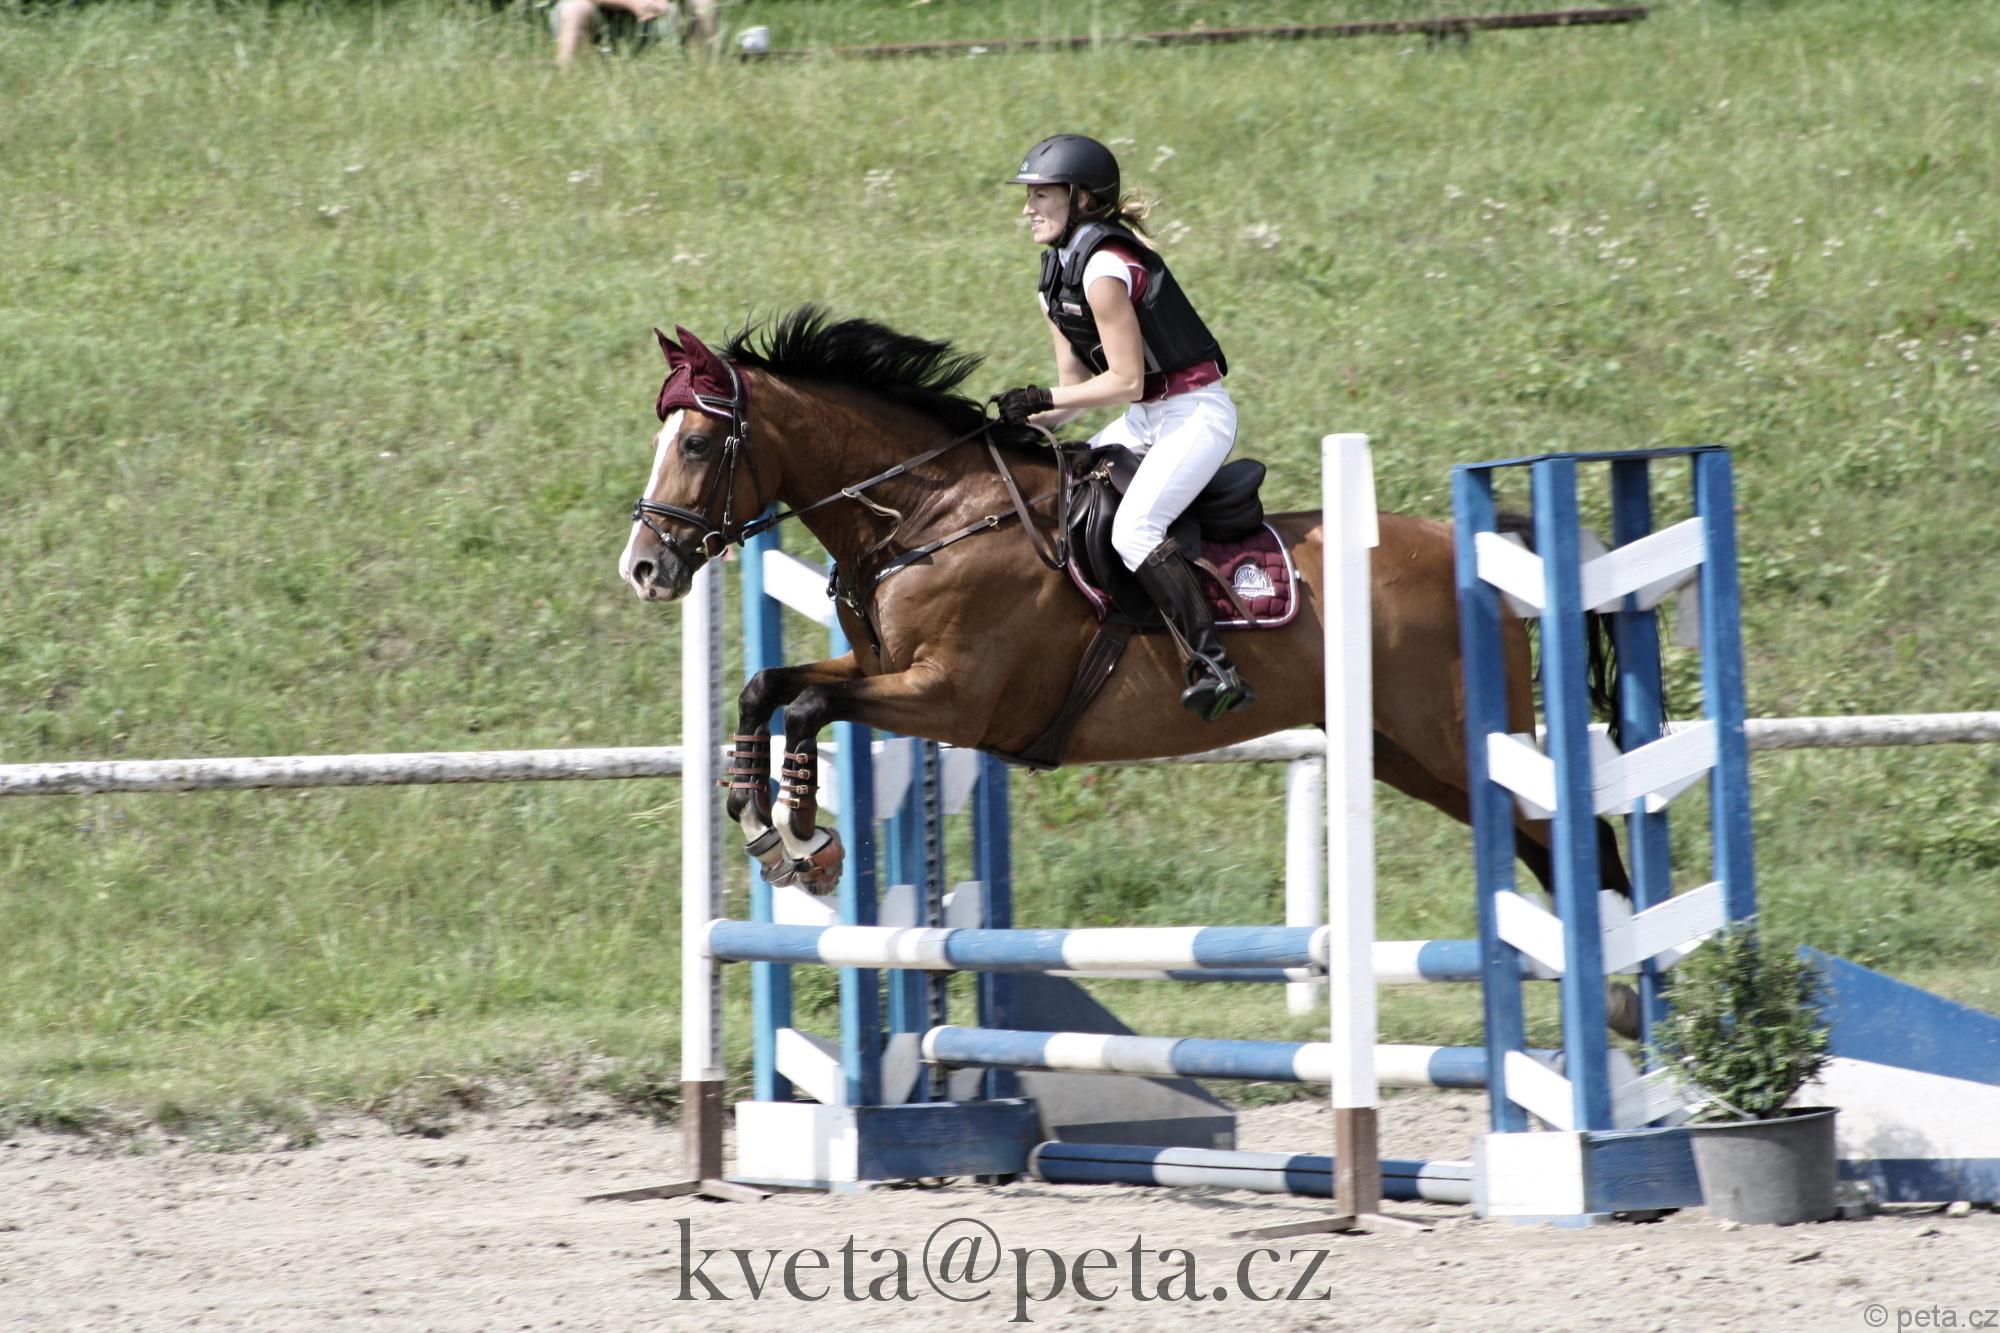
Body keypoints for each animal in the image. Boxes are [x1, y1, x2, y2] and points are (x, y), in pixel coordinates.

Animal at [617, 307, 1635, 1021]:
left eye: (698, 442)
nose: (644, 568)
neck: (931, 512)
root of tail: (1485, 553)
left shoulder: (948, 700)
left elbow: (806, 708)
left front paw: (805, 839)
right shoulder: (880, 670)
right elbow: (770, 687)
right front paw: (762, 824)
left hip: (1458, 736)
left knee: (1574, 832)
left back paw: (1621, 992)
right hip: (1410, 754)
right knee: (1544, 843)